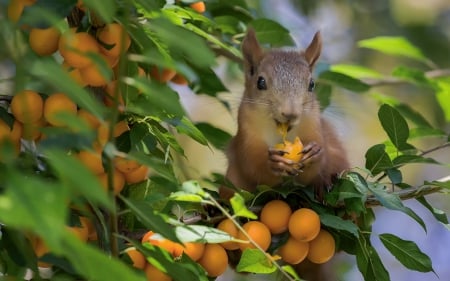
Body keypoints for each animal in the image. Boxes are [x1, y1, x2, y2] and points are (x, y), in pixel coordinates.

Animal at [220, 28, 350, 199]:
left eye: (312, 84)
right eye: (260, 82)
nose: (290, 113)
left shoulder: (314, 126)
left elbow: (314, 171)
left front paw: (315, 155)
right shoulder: (246, 133)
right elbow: (253, 165)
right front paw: (273, 163)